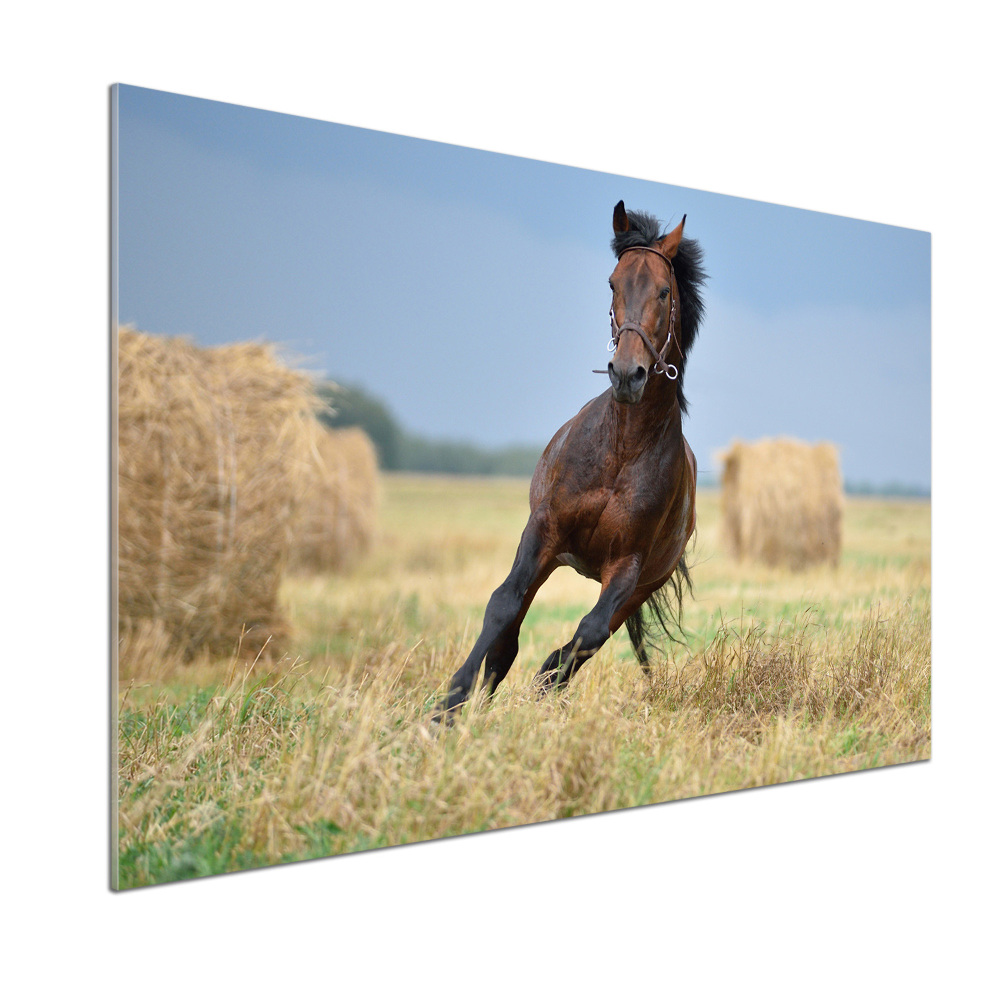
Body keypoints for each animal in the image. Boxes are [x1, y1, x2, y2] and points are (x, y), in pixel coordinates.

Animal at [436, 201, 704, 720]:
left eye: (664, 291)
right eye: (613, 284)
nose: (627, 374)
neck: (621, 449)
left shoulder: (627, 566)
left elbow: (585, 636)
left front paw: (535, 690)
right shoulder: (543, 530)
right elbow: (502, 606)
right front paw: (448, 706)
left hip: (637, 588)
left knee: (583, 642)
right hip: (553, 557)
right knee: (509, 638)